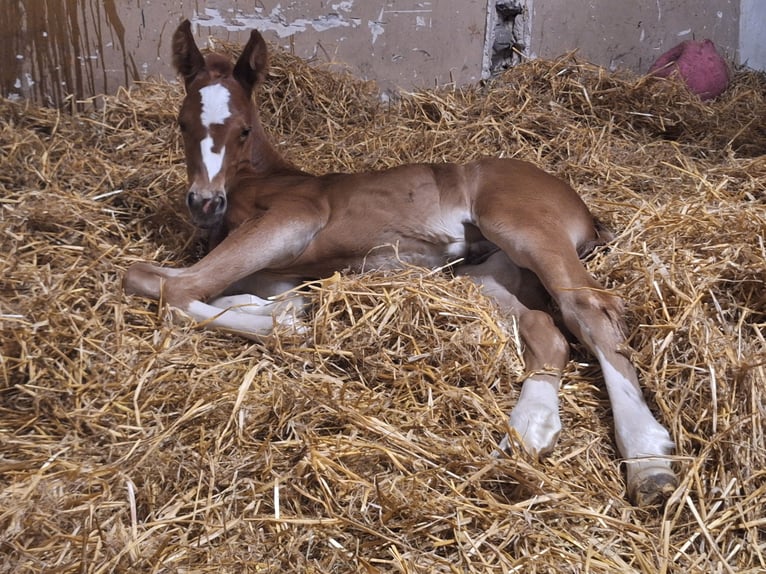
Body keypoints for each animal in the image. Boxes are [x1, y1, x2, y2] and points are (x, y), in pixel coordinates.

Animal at [123, 19, 677, 506]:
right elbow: (210, 286)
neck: (262, 180)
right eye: (181, 124)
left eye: (242, 130)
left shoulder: (291, 219)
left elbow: (166, 284)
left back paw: (649, 461)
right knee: (548, 330)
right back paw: (529, 433)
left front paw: (292, 327)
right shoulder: (273, 269)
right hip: (483, 275)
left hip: (524, 230)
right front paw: (286, 312)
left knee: (591, 309)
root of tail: (583, 207)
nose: (204, 203)